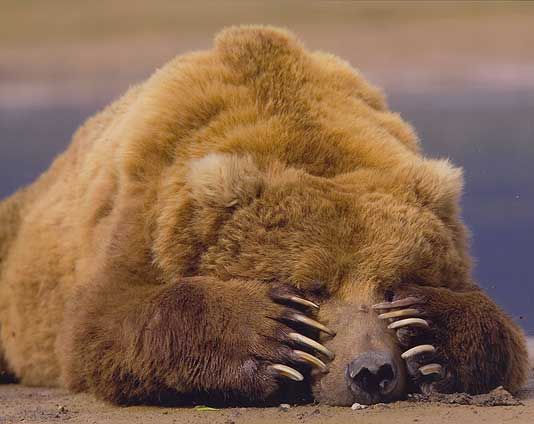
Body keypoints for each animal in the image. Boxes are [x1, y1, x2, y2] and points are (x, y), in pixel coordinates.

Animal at [0, 24, 528, 406]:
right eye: (314, 287)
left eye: (393, 283)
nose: (372, 371)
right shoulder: (142, 208)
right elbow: (100, 322)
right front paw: (273, 334)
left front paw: (428, 333)